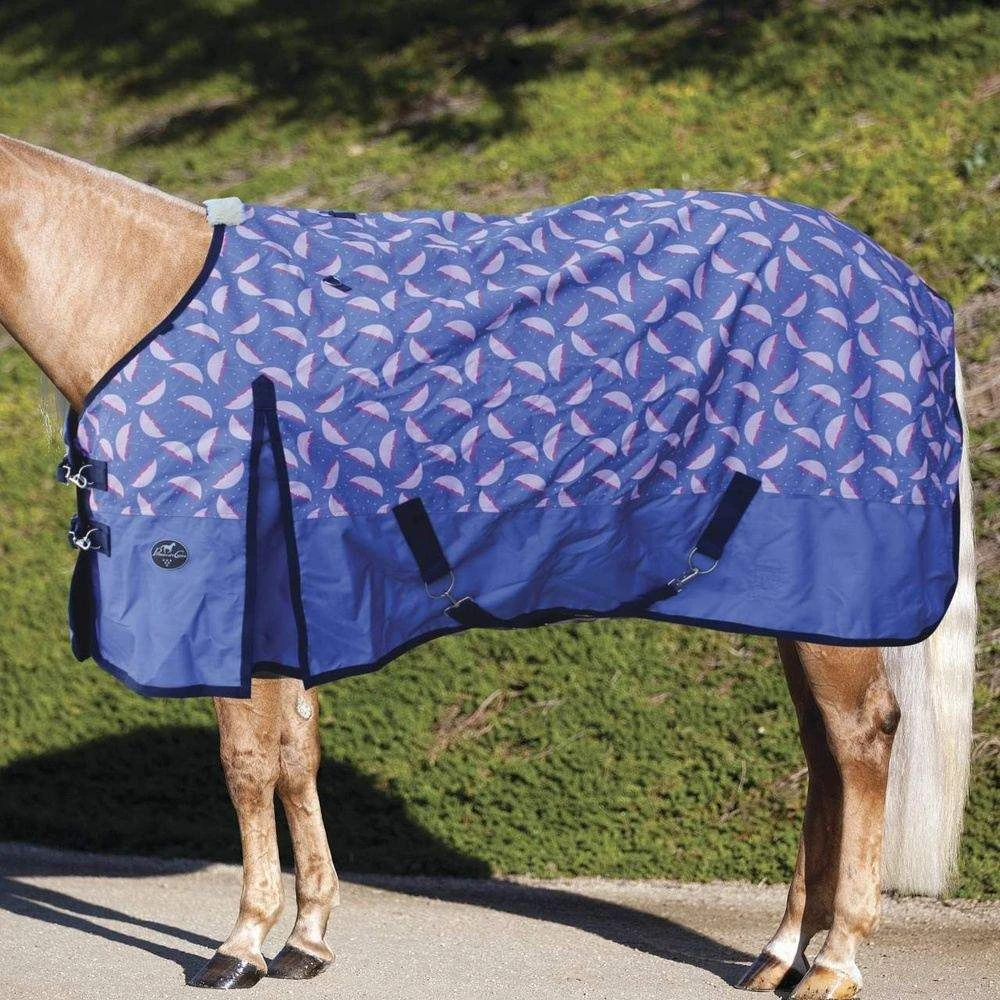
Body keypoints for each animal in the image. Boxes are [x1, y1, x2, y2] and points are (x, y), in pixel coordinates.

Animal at [0, 134, 976, 998]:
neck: (141, 296)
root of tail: (910, 288)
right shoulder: (289, 611)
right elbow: (294, 757)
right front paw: (306, 939)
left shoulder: (225, 606)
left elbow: (247, 765)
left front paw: (239, 946)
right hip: (795, 602)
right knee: (823, 753)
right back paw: (779, 957)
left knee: (858, 740)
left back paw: (836, 963)